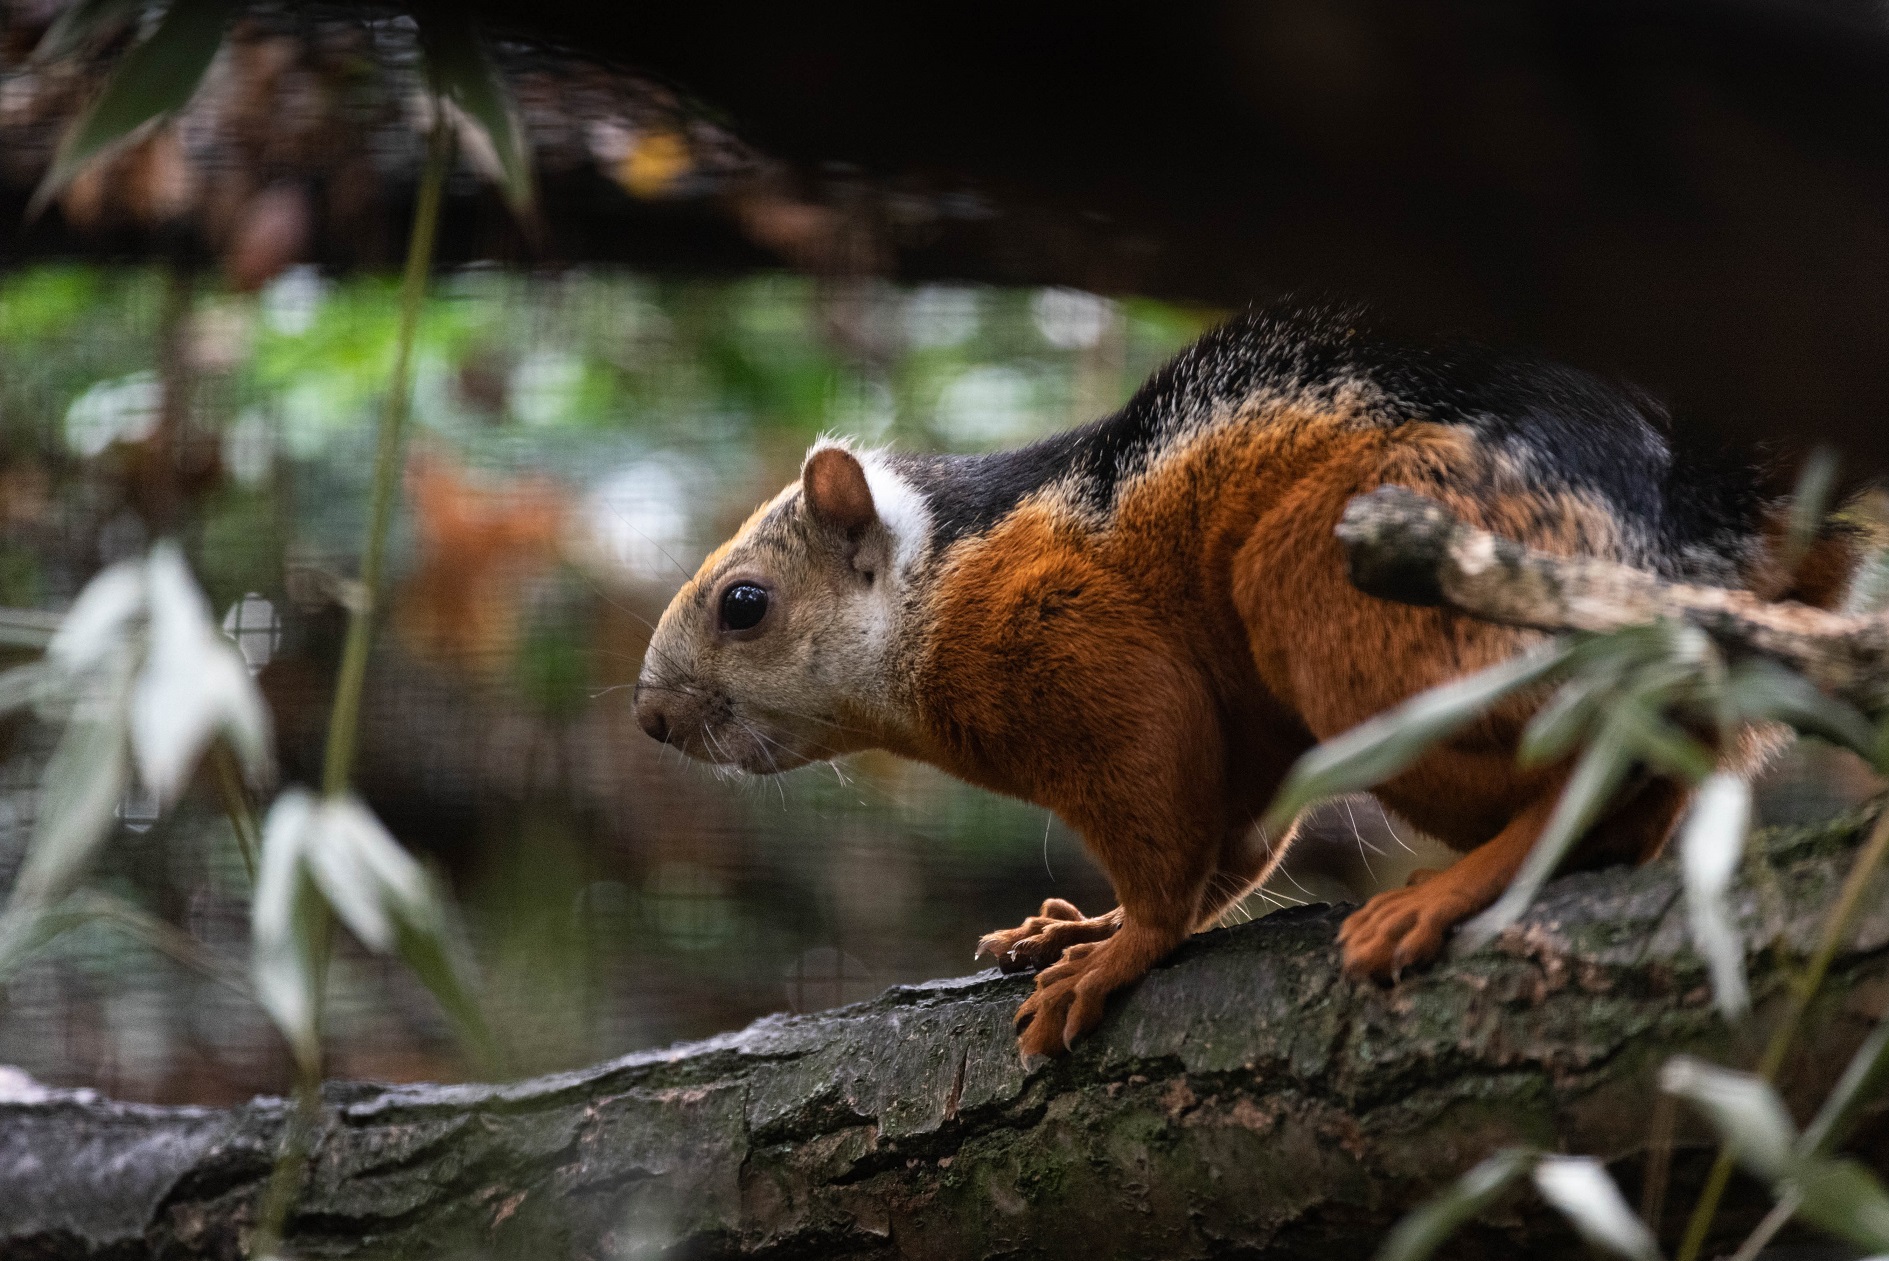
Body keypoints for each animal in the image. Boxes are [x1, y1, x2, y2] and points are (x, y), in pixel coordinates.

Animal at [632, 305, 1856, 1058]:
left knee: (1601, 775)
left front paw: (1116, 947)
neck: (935, 585)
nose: (648, 717)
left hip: (1347, 592)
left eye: (744, 604)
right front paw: (1072, 928)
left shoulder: (1090, 658)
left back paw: (1454, 886)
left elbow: (1166, 836)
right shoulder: (1238, 742)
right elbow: (1231, 848)